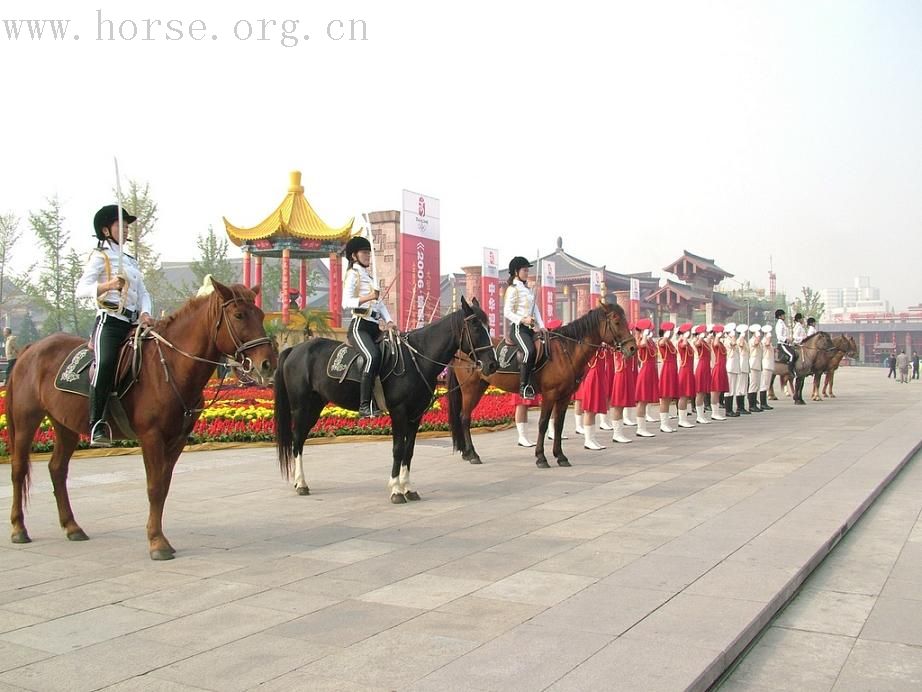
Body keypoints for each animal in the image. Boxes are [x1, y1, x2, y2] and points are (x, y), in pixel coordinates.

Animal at [7, 282, 274, 564]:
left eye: (260, 315)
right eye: (239, 315)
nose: (268, 363)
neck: (171, 367)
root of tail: (30, 349)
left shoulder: (177, 439)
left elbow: (164, 486)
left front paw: (158, 535)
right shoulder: (151, 436)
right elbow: (154, 487)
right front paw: (157, 542)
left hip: (64, 424)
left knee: (57, 469)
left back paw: (72, 526)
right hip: (26, 420)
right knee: (18, 470)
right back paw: (19, 528)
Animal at [274, 296, 496, 502]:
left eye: (488, 326)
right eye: (476, 327)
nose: (492, 364)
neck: (417, 359)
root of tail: (294, 349)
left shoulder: (415, 415)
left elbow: (409, 450)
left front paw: (408, 488)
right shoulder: (399, 411)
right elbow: (398, 449)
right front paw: (396, 490)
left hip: (315, 405)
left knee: (301, 439)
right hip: (301, 407)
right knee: (297, 440)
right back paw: (301, 483)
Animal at [446, 304, 632, 470]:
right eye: (617, 322)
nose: (632, 347)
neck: (566, 351)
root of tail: (460, 351)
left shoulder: (565, 396)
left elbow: (558, 425)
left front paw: (560, 456)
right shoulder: (550, 394)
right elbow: (543, 423)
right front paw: (541, 457)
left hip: (479, 387)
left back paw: (466, 453)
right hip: (470, 389)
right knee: (464, 417)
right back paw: (473, 454)